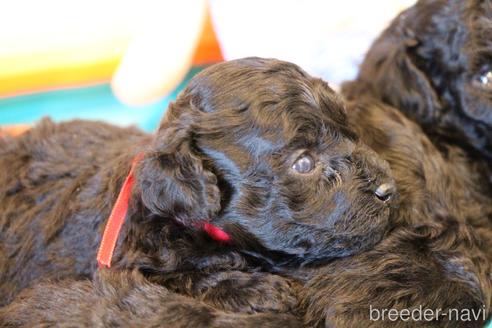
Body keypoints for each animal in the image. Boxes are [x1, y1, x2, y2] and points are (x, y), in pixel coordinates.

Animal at [0, 57, 392, 308]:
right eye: (304, 162)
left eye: (351, 133)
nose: (390, 189)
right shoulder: (127, 269)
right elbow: (184, 276)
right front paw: (258, 290)